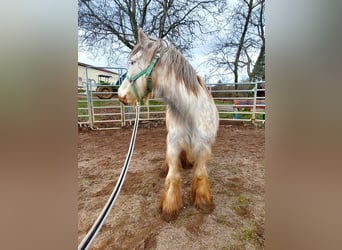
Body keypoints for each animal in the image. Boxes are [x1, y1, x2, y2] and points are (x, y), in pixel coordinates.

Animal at [117, 28, 219, 222]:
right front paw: (170, 207)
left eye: (132, 62)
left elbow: (200, 173)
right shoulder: (173, 143)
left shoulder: (203, 147)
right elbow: (173, 175)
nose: (121, 96)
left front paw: (203, 202)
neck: (189, 112)